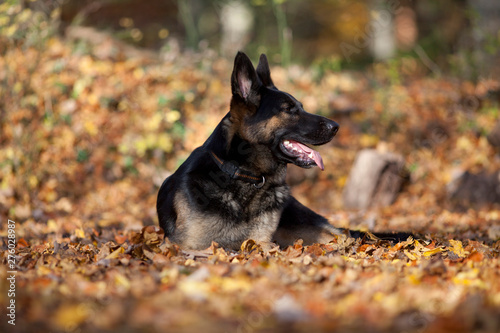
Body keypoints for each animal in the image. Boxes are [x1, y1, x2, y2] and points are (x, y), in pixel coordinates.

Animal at [158, 52, 374, 249]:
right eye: (289, 109)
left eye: (301, 107)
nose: (336, 126)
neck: (246, 176)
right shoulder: (187, 245)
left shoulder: (262, 241)